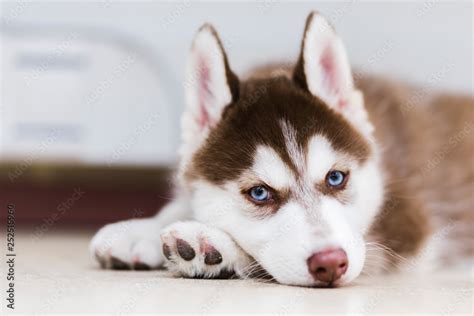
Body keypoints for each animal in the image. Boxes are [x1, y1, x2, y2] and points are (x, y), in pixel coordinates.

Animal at [90, 11, 472, 286]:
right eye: (259, 193)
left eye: (336, 178)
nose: (330, 264)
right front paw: (140, 231)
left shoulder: (404, 226)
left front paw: (213, 244)